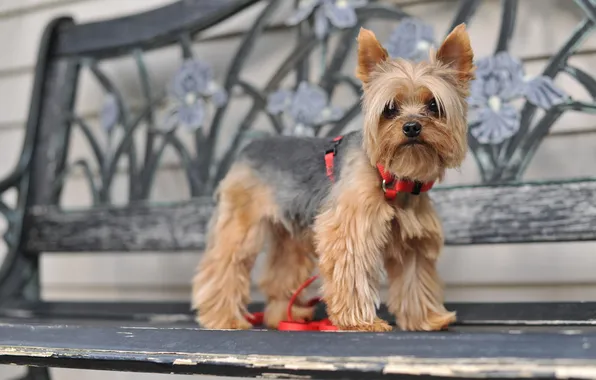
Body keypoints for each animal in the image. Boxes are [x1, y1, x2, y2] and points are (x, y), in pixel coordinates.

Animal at [191, 24, 474, 332]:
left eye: (434, 105)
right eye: (389, 109)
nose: (411, 126)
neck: (393, 176)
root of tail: (248, 147)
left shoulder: (413, 239)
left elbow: (415, 278)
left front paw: (426, 319)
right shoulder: (350, 227)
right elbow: (353, 273)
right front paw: (360, 322)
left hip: (291, 234)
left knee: (281, 273)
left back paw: (285, 317)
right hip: (241, 222)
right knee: (223, 265)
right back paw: (225, 317)